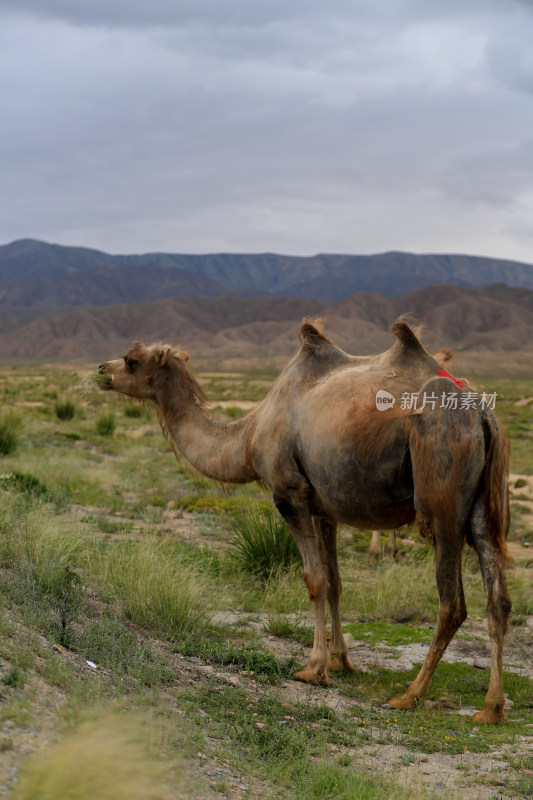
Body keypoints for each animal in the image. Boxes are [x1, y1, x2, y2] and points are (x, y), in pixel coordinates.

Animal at [97, 318, 510, 724]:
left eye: (131, 360)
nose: (102, 370)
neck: (248, 436)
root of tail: (481, 415)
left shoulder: (289, 494)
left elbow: (314, 580)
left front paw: (314, 668)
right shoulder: (325, 509)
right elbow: (335, 582)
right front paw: (341, 661)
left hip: (441, 493)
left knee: (452, 603)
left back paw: (410, 695)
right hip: (482, 509)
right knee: (498, 599)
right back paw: (491, 708)